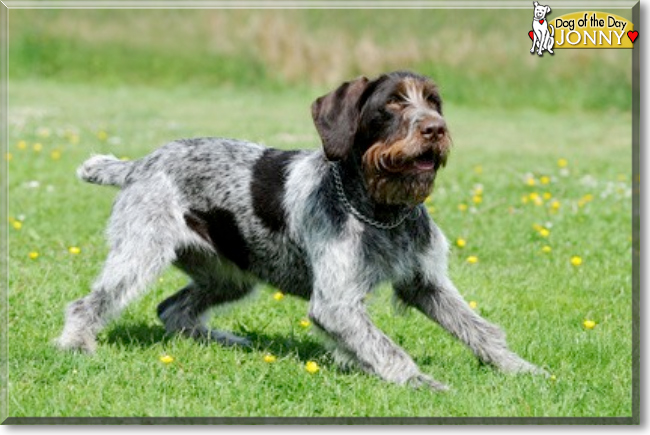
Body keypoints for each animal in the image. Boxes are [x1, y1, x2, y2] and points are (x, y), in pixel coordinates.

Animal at [55, 71, 544, 392]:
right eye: (391, 105)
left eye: (434, 102)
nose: (436, 129)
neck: (381, 212)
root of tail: (140, 163)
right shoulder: (337, 303)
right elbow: (387, 348)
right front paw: (420, 382)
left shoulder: (426, 283)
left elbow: (479, 329)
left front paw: (521, 369)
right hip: (140, 255)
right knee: (89, 304)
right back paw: (76, 344)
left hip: (231, 275)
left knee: (172, 308)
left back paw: (225, 339)